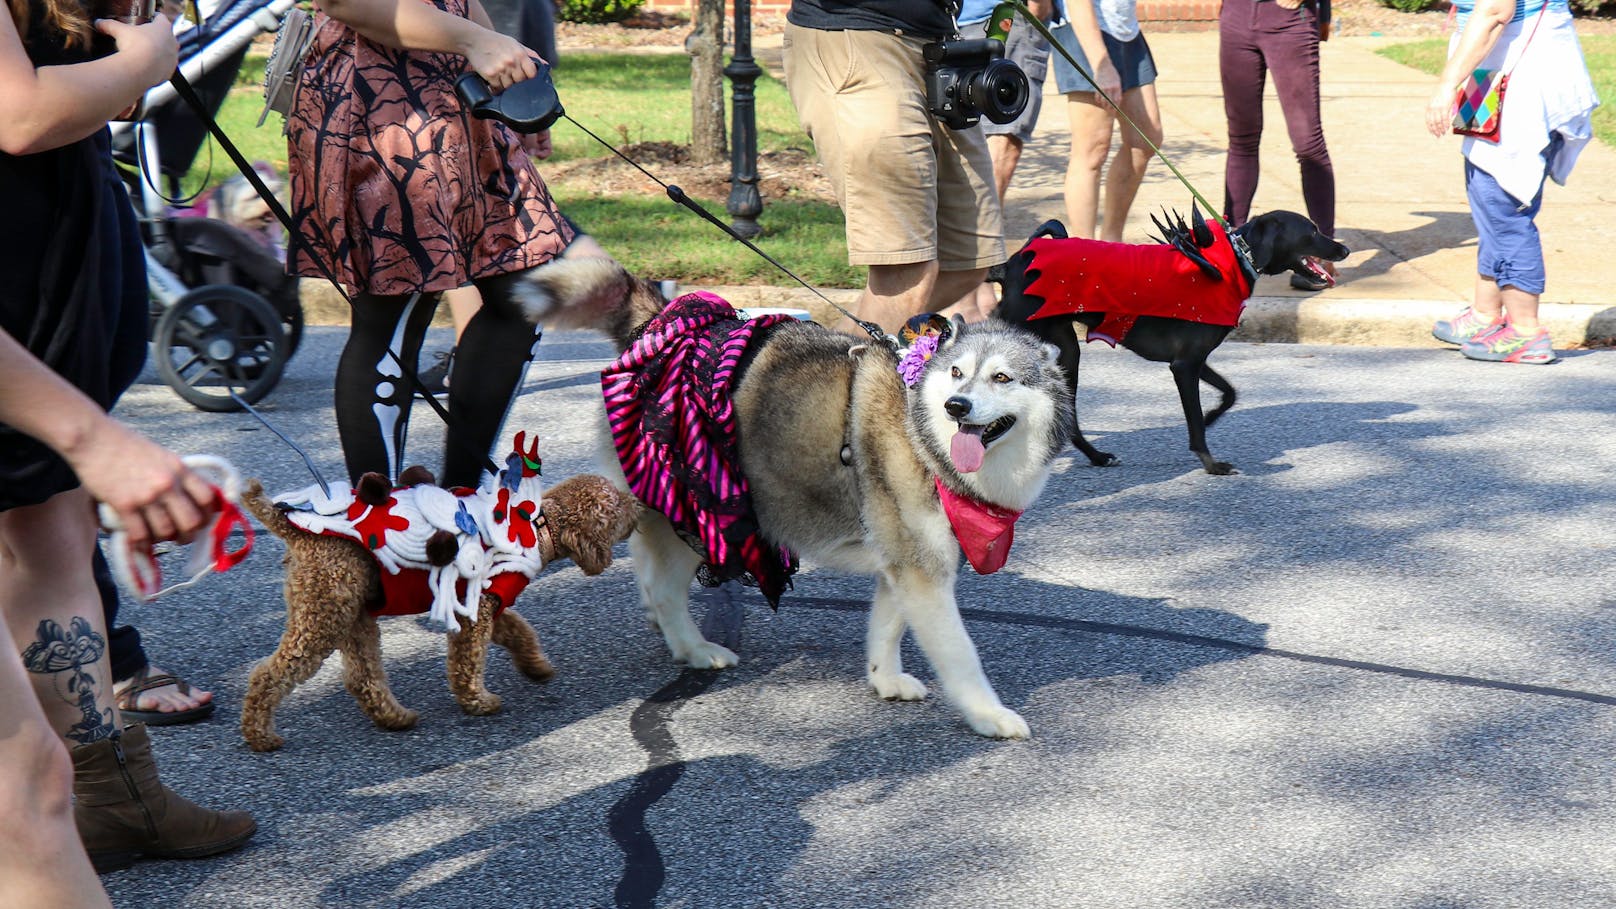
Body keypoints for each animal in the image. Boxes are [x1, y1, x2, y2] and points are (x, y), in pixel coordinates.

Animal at [510, 260, 1073, 737]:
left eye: (1001, 377)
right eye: (957, 373)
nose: (957, 406)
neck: (922, 433)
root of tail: (656, 321)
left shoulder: (906, 559)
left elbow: (887, 625)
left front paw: (884, 677)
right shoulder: (923, 571)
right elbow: (961, 654)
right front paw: (988, 714)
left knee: (649, 570)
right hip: (692, 514)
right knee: (664, 585)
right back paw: (693, 647)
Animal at [995, 206, 1350, 475]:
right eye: (1312, 231)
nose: (1344, 249)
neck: (1233, 259)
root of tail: (1018, 258)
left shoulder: (1192, 361)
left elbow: (1229, 394)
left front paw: (1210, 418)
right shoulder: (1184, 366)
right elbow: (1196, 420)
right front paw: (1211, 464)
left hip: (1067, 351)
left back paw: (1096, 457)